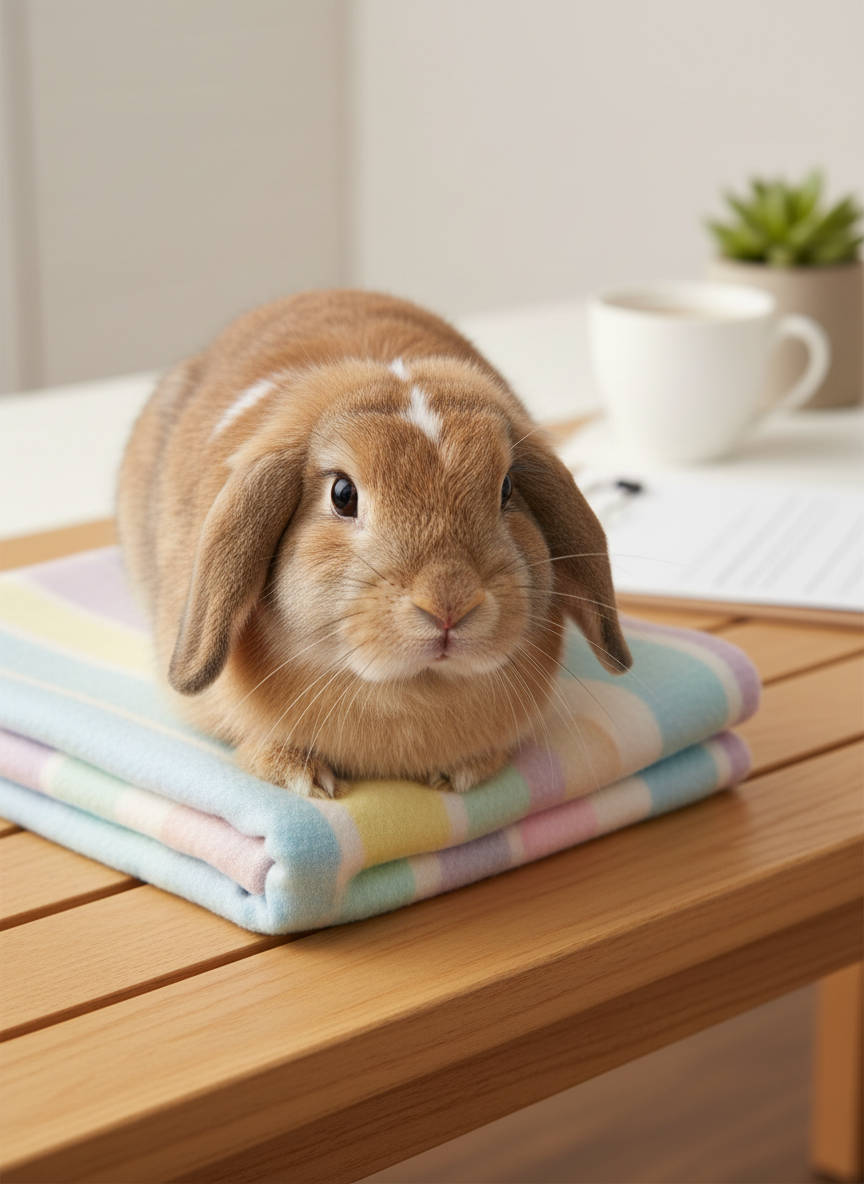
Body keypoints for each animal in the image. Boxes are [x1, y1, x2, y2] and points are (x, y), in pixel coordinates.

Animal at [117, 289, 632, 799]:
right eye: (343, 494)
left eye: (506, 489)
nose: (449, 605)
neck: (411, 689)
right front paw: (302, 777)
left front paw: (461, 772)